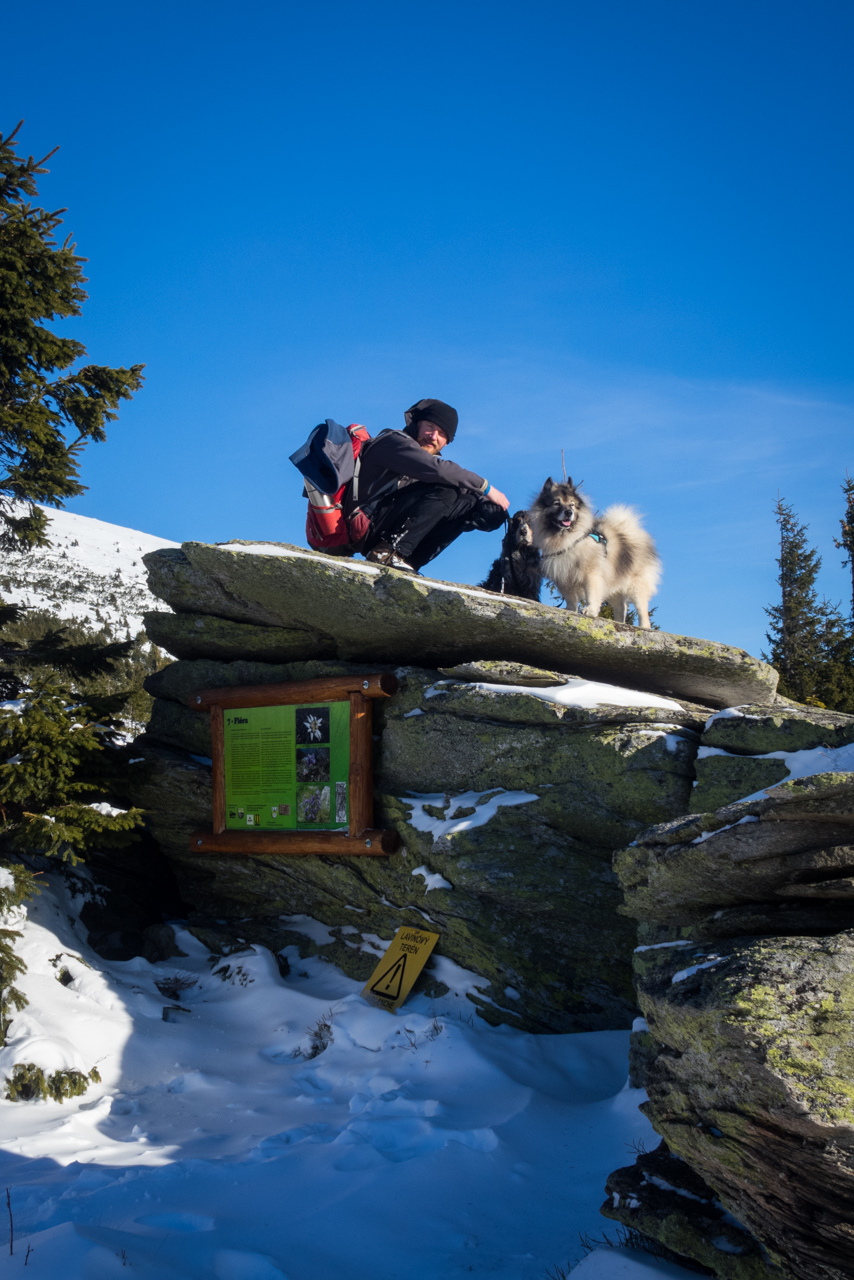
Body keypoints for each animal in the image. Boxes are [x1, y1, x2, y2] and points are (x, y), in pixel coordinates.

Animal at [527, 478, 660, 627]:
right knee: (621, 606)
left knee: (642, 610)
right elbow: (570, 599)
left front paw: (590, 610)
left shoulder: (591, 574)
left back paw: (643, 627)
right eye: (557, 503)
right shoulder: (563, 578)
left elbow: (591, 594)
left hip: (636, 586)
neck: (567, 540)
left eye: (572, 505)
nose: (568, 512)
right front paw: (570, 610)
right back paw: (618, 623)